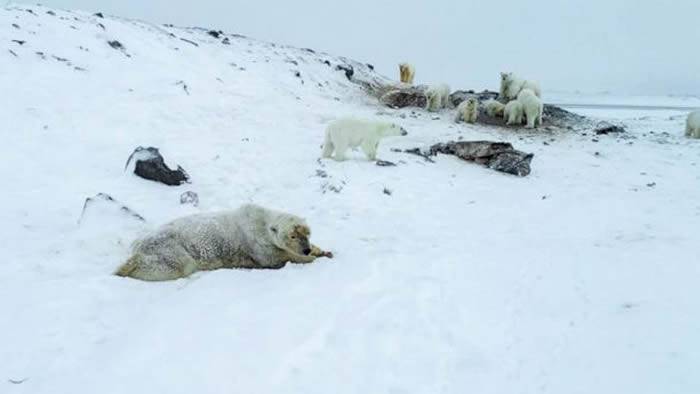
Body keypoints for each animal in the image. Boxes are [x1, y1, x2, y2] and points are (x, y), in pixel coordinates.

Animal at [115, 203, 334, 280]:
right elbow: (275, 257)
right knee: (176, 265)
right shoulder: (256, 242)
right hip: (168, 248)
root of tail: (136, 246)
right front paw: (309, 259)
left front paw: (323, 251)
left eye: (307, 233)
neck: (261, 221)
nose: (306, 250)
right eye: (292, 236)